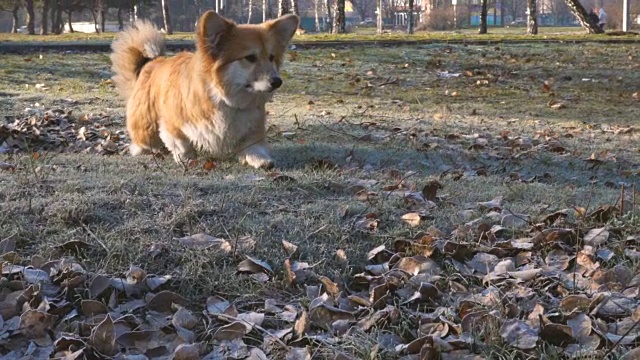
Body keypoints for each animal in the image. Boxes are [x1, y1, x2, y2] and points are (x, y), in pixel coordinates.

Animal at [110, 11, 300, 169]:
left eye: (271, 57)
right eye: (250, 58)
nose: (277, 82)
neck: (225, 100)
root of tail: (152, 62)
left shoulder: (254, 127)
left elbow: (254, 145)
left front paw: (260, 159)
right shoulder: (172, 124)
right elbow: (181, 143)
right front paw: (187, 159)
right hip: (146, 127)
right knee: (143, 140)